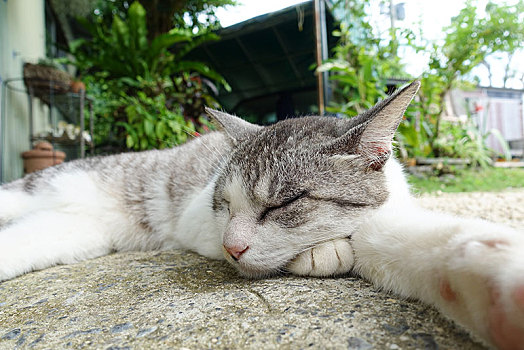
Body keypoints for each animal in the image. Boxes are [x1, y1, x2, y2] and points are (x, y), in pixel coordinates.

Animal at [1, 80, 524, 348]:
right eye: (224, 204)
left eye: (281, 204)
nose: (233, 248)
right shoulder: (200, 221)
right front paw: (325, 252)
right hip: (40, 192)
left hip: (73, 231)